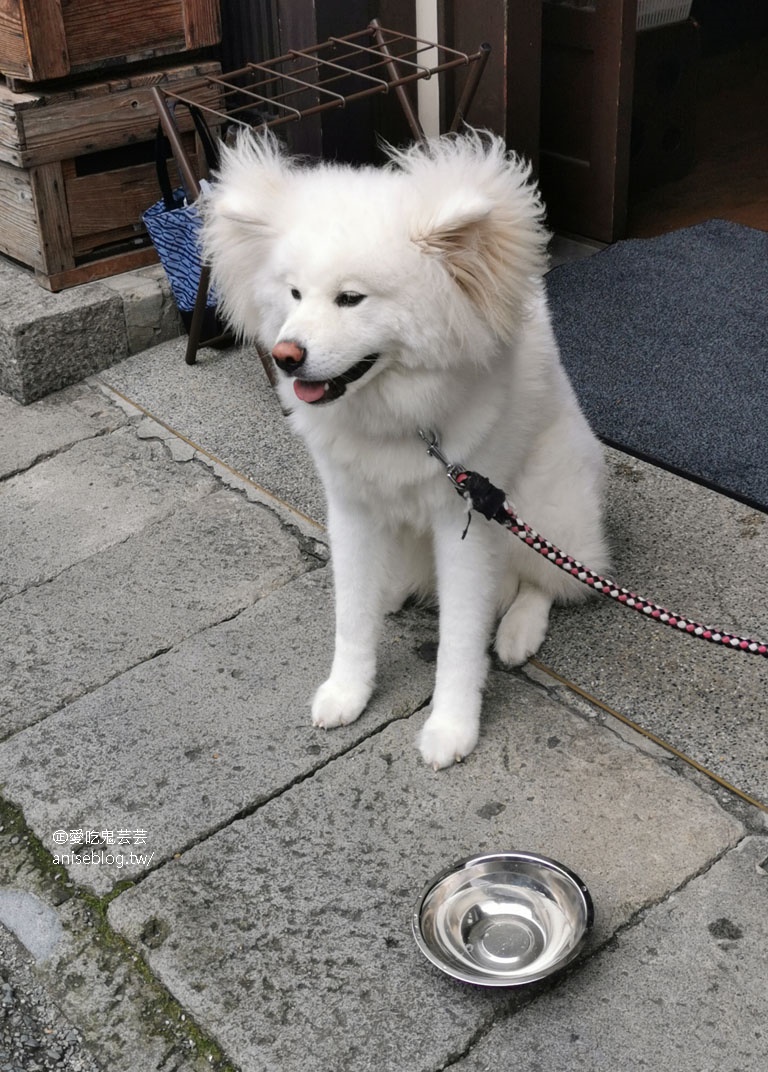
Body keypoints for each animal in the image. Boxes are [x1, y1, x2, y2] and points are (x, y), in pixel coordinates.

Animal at [200, 129, 609, 767]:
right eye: (293, 293)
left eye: (350, 299)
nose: (288, 356)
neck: (397, 419)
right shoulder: (351, 507)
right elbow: (350, 616)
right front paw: (347, 690)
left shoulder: (465, 524)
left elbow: (460, 641)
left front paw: (452, 727)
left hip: (545, 501)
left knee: (552, 579)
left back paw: (516, 632)